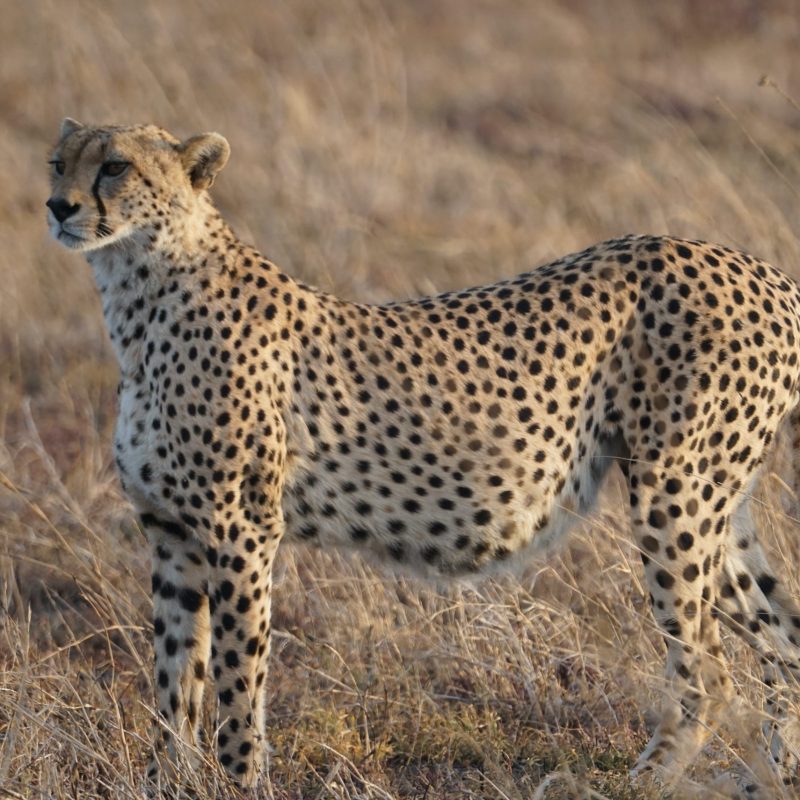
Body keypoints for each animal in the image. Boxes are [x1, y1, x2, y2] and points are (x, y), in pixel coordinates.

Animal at [46, 117, 800, 795]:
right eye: (58, 162)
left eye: (115, 166)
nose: (58, 206)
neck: (140, 292)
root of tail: (761, 270)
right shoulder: (171, 534)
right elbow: (175, 685)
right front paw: (163, 782)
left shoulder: (242, 531)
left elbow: (236, 680)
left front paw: (237, 783)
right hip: (716, 506)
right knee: (785, 644)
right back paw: (772, 777)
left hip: (674, 495)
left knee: (709, 672)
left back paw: (641, 785)